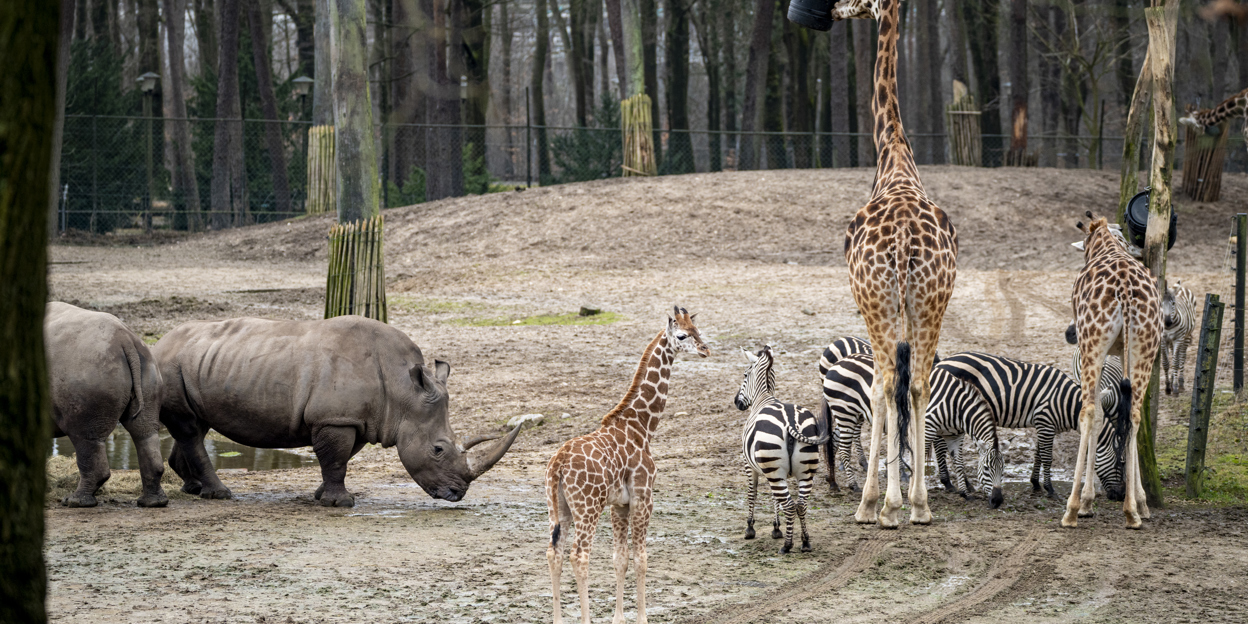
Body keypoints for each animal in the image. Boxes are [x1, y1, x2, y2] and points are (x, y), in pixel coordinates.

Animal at [734, 345, 828, 554]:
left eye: (745, 375)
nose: (737, 402)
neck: (764, 398)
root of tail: (790, 421)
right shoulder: (773, 470)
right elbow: (774, 498)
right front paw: (777, 528)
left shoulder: (749, 465)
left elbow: (752, 493)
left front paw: (750, 528)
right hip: (804, 471)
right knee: (800, 504)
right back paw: (805, 542)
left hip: (775, 471)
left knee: (790, 505)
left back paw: (787, 545)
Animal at [924, 366, 1005, 508]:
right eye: (986, 468)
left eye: (1003, 469)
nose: (997, 501)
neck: (957, 407)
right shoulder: (928, 427)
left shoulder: (955, 436)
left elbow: (959, 464)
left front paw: (964, 493)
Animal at [936, 352, 1129, 500]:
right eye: (1121, 464)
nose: (1121, 496)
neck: (1065, 402)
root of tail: (943, 361)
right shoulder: (1045, 422)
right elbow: (1047, 457)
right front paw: (1050, 489)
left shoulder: (1044, 424)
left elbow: (1038, 454)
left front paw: (1035, 484)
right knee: (939, 445)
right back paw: (948, 483)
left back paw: (963, 484)